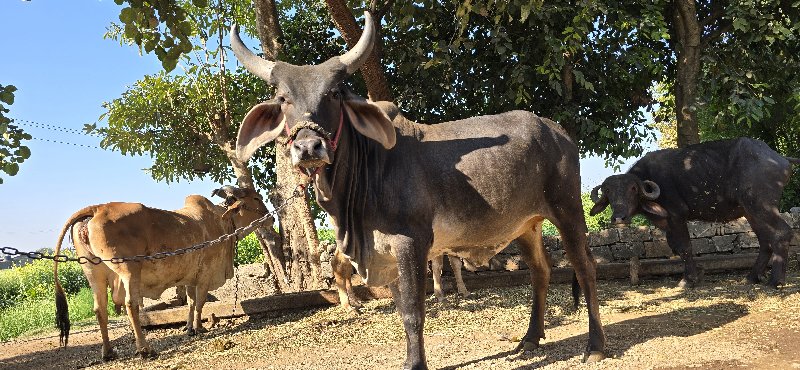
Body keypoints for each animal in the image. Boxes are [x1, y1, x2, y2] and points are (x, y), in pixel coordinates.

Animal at [52, 186, 268, 360]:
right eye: (256, 198)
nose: (271, 217)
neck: (221, 222)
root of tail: (97, 208)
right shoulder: (205, 275)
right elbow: (200, 303)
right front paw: (199, 327)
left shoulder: (190, 277)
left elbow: (191, 303)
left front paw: (190, 328)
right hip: (129, 270)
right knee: (131, 305)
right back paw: (145, 349)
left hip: (93, 273)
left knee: (100, 309)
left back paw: (108, 352)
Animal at [231, 11, 608, 370]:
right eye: (282, 98)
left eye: (334, 94)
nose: (309, 147)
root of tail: (558, 131)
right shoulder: (384, 253)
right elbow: (402, 311)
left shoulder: (411, 243)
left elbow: (414, 312)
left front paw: (416, 363)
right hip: (526, 225)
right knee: (540, 271)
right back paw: (529, 339)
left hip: (568, 210)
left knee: (586, 267)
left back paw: (595, 347)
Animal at [588, 137, 800, 288]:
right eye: (608, 191)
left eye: (632, 189)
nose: (619, 218)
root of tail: (780, 159)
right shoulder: (668, 224)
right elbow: (675, 247)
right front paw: (698, 272)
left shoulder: (677, 216)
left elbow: (684, 247)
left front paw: (688, 279)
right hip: (750, 212)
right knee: (765, 240)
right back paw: (752, 277)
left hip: (761, 206)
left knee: (782, 233)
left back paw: (776, 281)